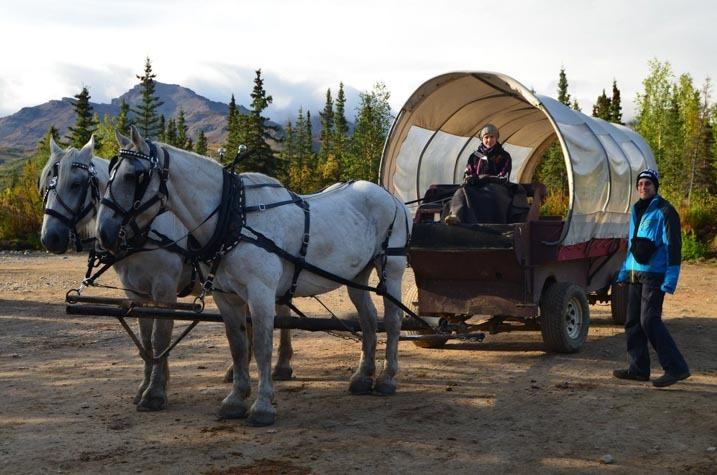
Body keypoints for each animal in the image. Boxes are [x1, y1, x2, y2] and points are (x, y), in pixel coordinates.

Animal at [37, 138, 296, 412]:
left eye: (75, 184)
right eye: (45, 187)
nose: (50, 238)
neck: (144, 230)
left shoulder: (164, 289)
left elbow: (160, 337)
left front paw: (155, 392)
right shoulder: (136, 293)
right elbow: (146, 340)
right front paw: (147, 385)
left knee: (282, 313)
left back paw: (282, 365)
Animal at [96, 127, 412, 428]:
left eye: (134, 175)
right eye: (109, 173)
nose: (104, 234)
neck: (235, 217)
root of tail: (391, 197)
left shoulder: (260, 293)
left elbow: (261, 346)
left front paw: (262, 406)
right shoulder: (225, 296)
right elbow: (237, 346)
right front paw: (235, 400)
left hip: (391, 268)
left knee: (393, 320)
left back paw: (387, 378)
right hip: (357, 275)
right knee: (368, 320)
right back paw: (363, 377)